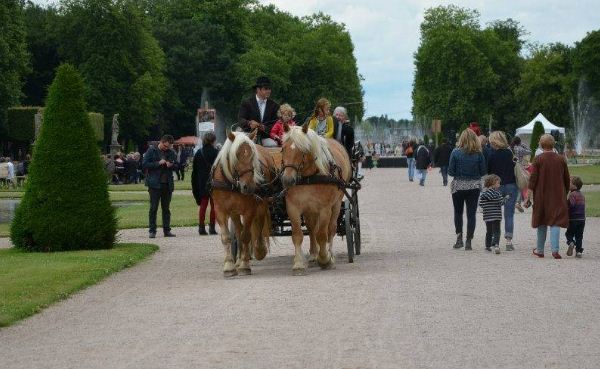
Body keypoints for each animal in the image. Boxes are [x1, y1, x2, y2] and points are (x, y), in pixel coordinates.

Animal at [211, 131, 274, 274]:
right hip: (234, 211)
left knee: (258, 224)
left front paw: (245, 265)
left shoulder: (249, 210)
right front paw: (229, 265)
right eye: (236, 156)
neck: (232, 183)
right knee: (238, 231)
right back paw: (239, 260)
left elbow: (246, 236)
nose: (248, 187)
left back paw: (259, 250)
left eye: (252, 156)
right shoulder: (220, 210)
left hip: (261, 204)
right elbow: (227, 237)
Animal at [282, 123, 352, 274]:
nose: (287, 180)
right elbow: (298, 235)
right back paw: (314, 254)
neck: (309, 177)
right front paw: (298, 263)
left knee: (330, 229)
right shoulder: (292, 207)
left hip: (336, 204)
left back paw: (330, 255)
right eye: (283, 149)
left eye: (302, 150)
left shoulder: (325, 209)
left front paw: (325, 259)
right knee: (312, 228)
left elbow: (322, 235)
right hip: (310, 209)